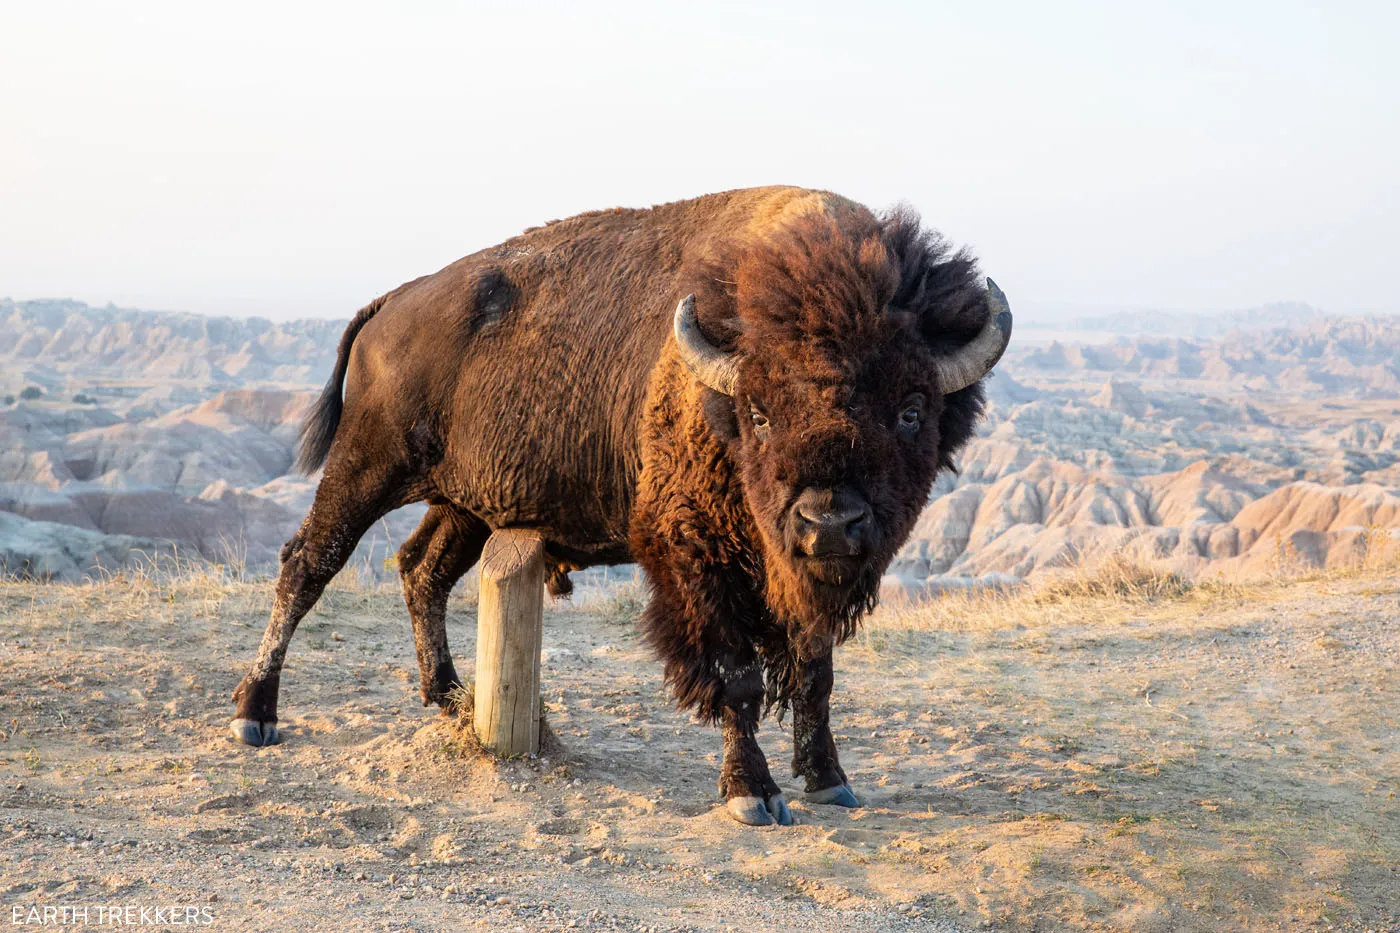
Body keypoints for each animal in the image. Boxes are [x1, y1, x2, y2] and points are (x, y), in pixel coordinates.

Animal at [229, 184, 1008, 823]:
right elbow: (737, 676)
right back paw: (254, 715)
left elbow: (815, 675)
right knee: (308, 562)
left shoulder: (798, 584)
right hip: (366, 467)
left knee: (421, 570)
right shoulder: (698, 560)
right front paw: (751, 794)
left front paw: (830, 781)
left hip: (465, 505)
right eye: (758, 414)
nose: (830, 523)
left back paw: (448, 697)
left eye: (911, 410)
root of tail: (391, 302)